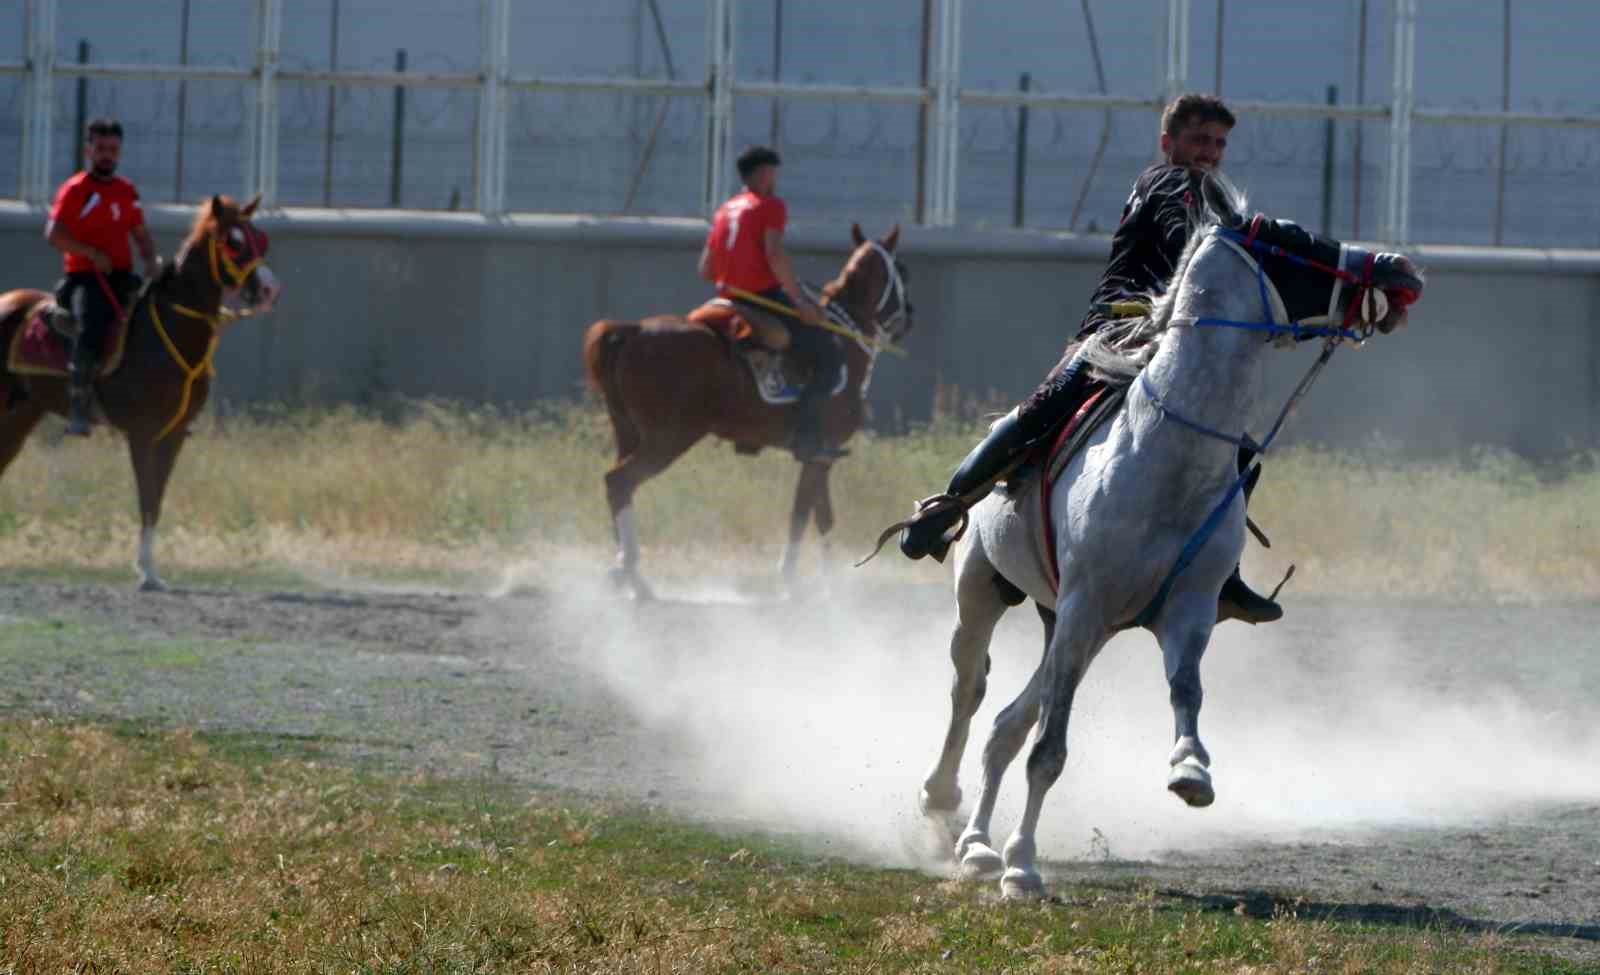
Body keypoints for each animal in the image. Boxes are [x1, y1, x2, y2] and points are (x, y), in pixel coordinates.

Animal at [0, 190, 281, 585]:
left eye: (260, 238)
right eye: (234, 241)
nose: (269, 289)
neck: (169, 331)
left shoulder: (173, 435)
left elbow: (156, 501)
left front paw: (150, 569)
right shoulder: (142, 432)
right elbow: (146, 495)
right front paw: (145, 572)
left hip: (19, 415)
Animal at [588, 224, 915, 595]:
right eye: (901, 269)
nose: (909, 315)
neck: (844, 342)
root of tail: (633, 330)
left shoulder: (820, 456)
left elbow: (821, 515)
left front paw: (827, 580)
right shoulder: (819, 454)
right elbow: (803, 514)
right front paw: (794, 579)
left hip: (628, 432)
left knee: (619, 489)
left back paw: (624, 571)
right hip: (669, 438)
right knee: (619, 482)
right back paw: (634, 575)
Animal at [915, 176, 1427, 896]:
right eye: (1296, 239)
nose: (1400, 270)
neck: (1166, 454)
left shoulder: (1180, 611)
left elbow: (1185, 691)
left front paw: (1191, 771)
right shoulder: (1084, 605)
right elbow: (1049, 750)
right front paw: (1024, 866)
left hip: (1068, 624)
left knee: (1004, 726)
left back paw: (977, 844)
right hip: (986, 595)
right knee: (970, 691)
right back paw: (947, 808)